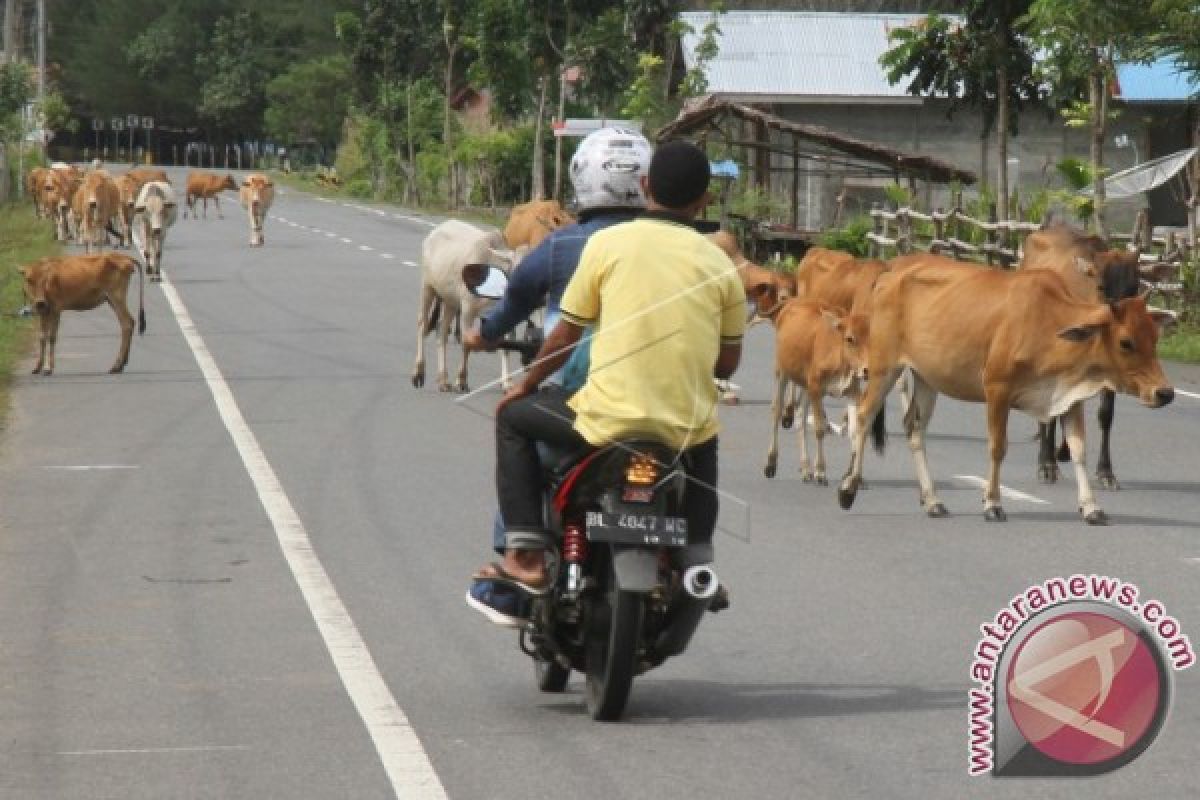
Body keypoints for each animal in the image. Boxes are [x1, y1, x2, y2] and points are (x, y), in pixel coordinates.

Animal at [415, 219, 523, 393]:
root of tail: (437, 230)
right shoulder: (468, 310)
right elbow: (467, 345)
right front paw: (462, 380)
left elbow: (506, 348)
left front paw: (507, 383)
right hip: (428, 286)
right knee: (422, 324)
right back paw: (418, 372)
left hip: (450, 301)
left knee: (442, 332)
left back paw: (443, 379)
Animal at [763, 299, 878, 484]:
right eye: (850, 338)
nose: (867, 370)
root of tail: (792, 301)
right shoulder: (816, 388)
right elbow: (819, 429)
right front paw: (820, 470)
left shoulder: (852, 392)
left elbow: (854, 431)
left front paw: (852, 475)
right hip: (782, 372)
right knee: (777, 410)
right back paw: (771, 463)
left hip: (806, 386)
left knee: (800, 416)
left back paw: (805, 468)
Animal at [835, 255, 1171, 525]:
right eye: (1126, 342)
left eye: (1155, 337)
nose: (1165, 393)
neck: (1049, 326)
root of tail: (893, 268)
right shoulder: (997, 390)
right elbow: (998, 447)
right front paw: (993, 504)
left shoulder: (1069, 399)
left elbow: (1078, 451)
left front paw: (1091, 508)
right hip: (884, 367)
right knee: (863, 416)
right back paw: (848, 489)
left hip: (927, 377)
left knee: (914, 429)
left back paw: (932, 501)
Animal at [1022, 224, 1142, 489]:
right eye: (1101, 287)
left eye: (1134, 288)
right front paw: (1046, 466)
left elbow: (1105, 414)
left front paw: (1106, 472)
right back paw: (1048, 458)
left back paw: (1063, 451)